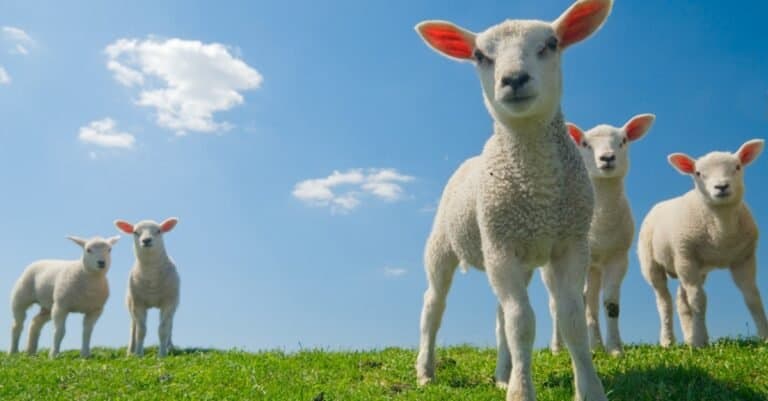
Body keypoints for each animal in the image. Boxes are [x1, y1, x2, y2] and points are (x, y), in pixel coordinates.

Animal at [114, 217, 180, 357]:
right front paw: (139, 354)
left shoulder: (168, 302)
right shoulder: (138, 303)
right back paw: (130, 351)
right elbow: (141, 330)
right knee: (133, 326)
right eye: (135, 232)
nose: (146, 240)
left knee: (170, 325)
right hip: (130, 303)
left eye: (159, 231)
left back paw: (170, 347)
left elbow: (163, 329)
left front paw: (162, 354)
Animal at [414, 1, 613, 400]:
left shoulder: (571, 244)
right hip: (445, 245)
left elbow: (570, 318)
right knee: (433, 306)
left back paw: (503, 372)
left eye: (551, 44)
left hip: (515, 256)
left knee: (500, 316)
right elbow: (522, 323)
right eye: (479, 56)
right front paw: (521, 391)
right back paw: (426, 371)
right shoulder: (500, 245)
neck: (539, 189)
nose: (515, 79)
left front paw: (589, 389)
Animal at [546, 114, 655, 357]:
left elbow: (610, 304)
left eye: (623, 141)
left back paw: (595, 344)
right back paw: (558, 347)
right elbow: (577, 301)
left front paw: (615, 349)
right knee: (556, 303)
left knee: (591, 300)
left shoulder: (619, 257)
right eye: (585, 144)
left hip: (594, 268)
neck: (601, 222)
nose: (607, 158)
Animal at [638, 139, 768, 347]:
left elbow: (752, 297)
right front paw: (699, 341)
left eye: (738, 167)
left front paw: (765, 336)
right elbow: (698, 300)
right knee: (664, 301)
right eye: (698, 173)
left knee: (681, 300)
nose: (721, 186)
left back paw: (689, 337)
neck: (721, 232)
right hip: (653, 262)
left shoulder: (744, 258)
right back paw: (668, 341)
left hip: (692, 266)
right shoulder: (686, 256)